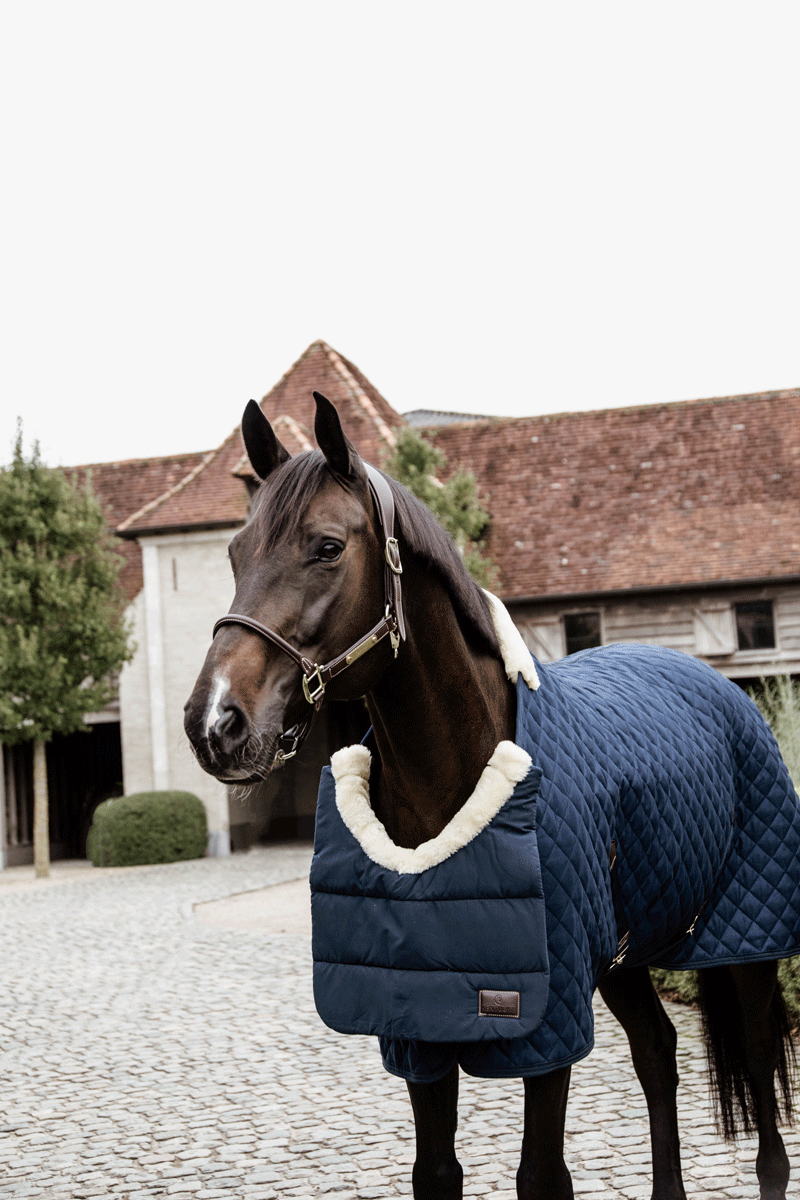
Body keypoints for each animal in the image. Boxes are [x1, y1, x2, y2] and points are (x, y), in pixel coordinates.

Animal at [184, 391, 800, 1200]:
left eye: (325, 547)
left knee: (759, 1070)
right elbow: (436, 1171)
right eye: (234, 554)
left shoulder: (545, 1023)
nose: (214, 723)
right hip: (622, 958)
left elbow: (540, 1173)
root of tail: (718, 688)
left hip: (744, 940)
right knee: (657, 1052)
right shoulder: (420, 1025)